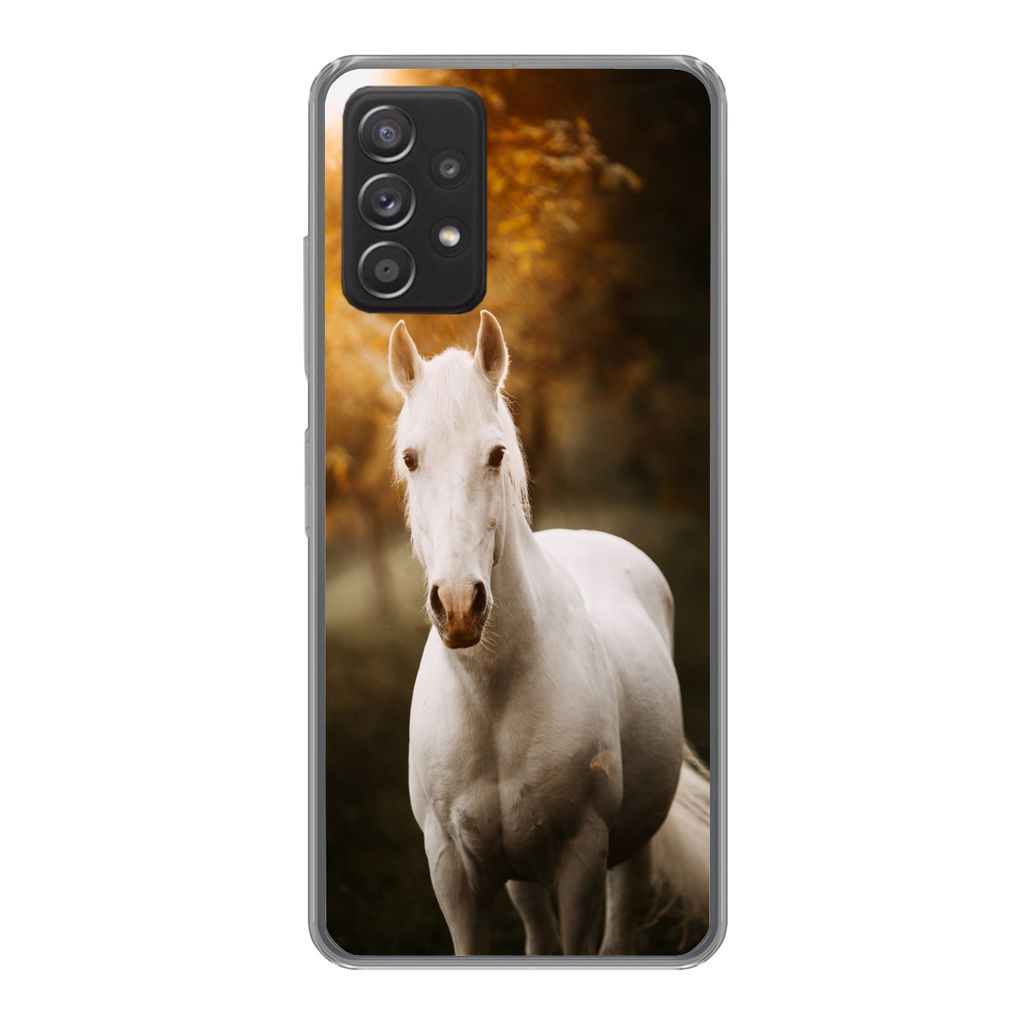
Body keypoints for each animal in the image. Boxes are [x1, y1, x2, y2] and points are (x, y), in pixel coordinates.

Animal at [388, 310, 710, 955]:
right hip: (519, 874)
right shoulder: (451, 870)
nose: (458, 606)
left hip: (631, 848)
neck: (493, 696)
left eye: (495, 454)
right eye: (411, 458)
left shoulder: (582, 860)